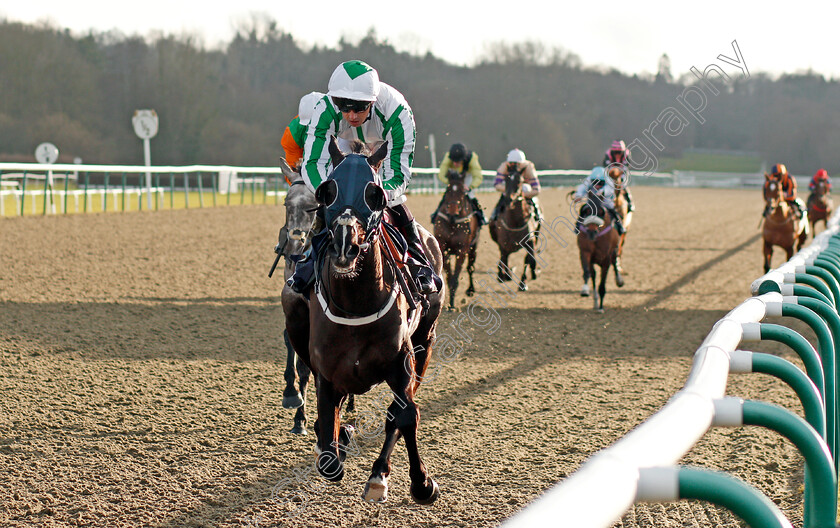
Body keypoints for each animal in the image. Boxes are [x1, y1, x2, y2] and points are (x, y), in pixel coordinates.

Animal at [280, 138, 442, 506]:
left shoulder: (402, 360)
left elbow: (404, 414)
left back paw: (379, 475)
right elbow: (328, 439)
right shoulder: (327, 370)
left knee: (398, 412)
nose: (345, 245)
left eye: (375, 193)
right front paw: (333, 437)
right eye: (328, 191)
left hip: (426, 339)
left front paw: (420, 483)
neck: (355, 304)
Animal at [434, 169, 480, 310]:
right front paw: (450, 303)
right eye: (448, 190)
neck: (453, 223)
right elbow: (449, 278)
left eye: (462, 192)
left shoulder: (462, 250)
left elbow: (455, 278)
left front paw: (452, 304)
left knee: (470, 268)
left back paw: (470, 290)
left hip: (473, 248)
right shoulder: (444, 249)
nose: (452, 214)